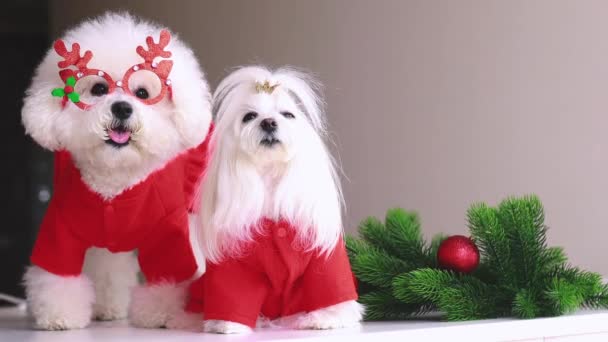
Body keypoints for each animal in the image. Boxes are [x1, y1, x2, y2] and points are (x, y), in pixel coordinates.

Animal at [20, 12, 211, 328]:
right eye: (98, 88)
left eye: (143, 93)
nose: (122, 108)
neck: (115, 180)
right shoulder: (60, 227)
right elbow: (58, 275)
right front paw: (60, 315)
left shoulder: (168, 233)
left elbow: (167, 273)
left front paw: (161, 313)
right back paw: (107, 307)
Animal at [188, 65, 364, 332]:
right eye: (249, 116)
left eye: (287, 115)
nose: (269, 122)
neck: (270, 176)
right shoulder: (233, 265)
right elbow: (233, 293)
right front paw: (226, 325)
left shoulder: (325, 258)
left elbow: (329, 288)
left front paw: (326, 318)